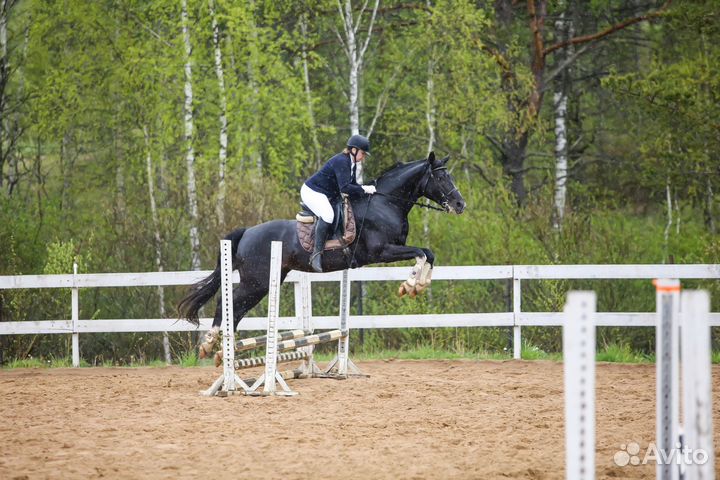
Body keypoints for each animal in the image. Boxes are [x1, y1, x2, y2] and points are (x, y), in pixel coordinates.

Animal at [177, 152, 464, 358]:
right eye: (441, 178)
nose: (460, 204)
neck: (386, 202)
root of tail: (246, 232)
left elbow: (429, 254)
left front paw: (419, 285)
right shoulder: (381, 251)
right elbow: (421, 254)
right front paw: (410, 285)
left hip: (266, 280)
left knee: (236, 308)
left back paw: (224, 348)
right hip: (256, 281)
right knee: (226, 303)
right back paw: (212, 343)